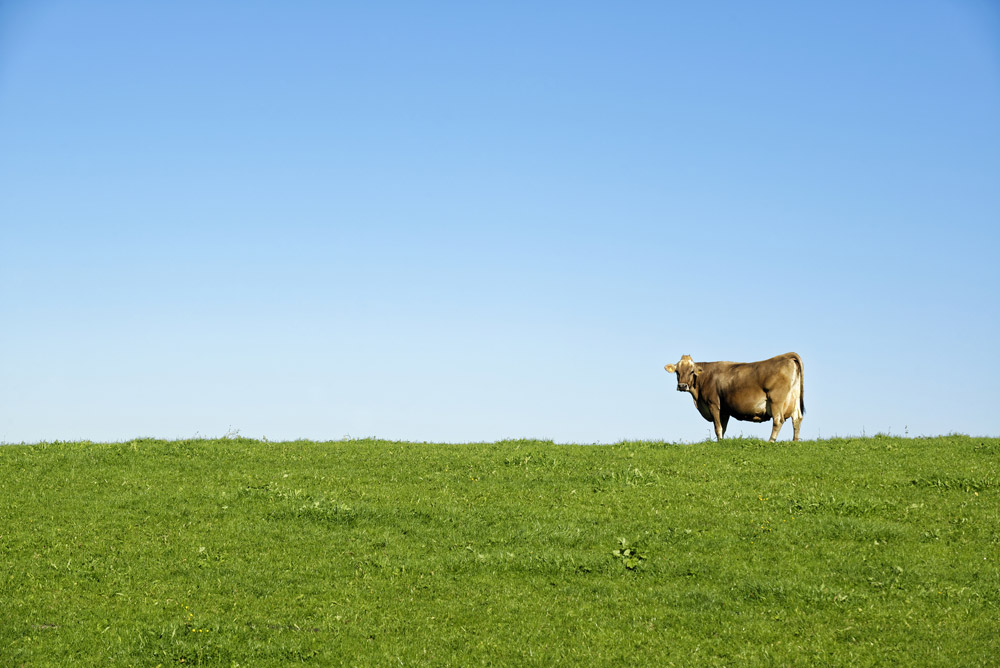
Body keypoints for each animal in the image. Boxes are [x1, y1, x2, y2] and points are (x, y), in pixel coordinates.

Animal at [664, 352, 804, 440]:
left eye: (692, 371)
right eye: (677, 372)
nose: (682, 386)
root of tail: (786, 357)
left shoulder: (713, 404)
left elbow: (717, 427)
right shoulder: (725, 410)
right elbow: (723, 427)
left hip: (776, 400)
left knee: (778, 420)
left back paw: (771, 441)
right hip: (794, 399)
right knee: (797, 418)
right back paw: (795, 441)